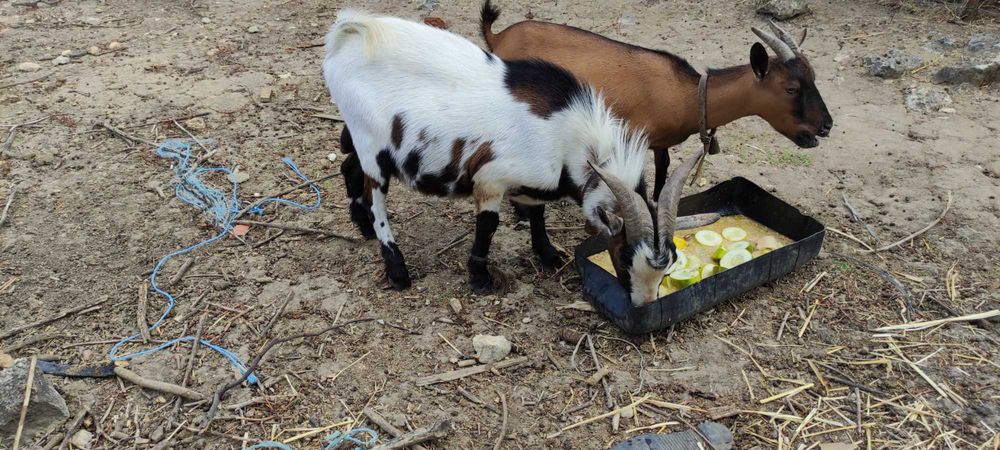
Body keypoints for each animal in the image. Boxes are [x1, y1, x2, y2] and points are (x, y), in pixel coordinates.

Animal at [323, 10, 702, 305]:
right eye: (624, 258)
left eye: (671, 261)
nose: (644, 304)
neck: (566, 132)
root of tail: (350, 33)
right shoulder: (490, 179)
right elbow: (488, 227)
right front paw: (480, 278)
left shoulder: (534, 182)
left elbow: (537, 214)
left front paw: (548, 255)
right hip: (372, 145)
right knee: (375, 195)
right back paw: (396, 267)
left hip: (370, 140)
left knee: (349, 165)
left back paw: (361, 225)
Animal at [480, 1, 833, 200]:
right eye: (791, 88)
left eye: (815, 77)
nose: (826, 126)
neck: (688, 95)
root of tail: (498, 37)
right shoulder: (629, 137)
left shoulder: (660, 143)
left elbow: (663, 174)